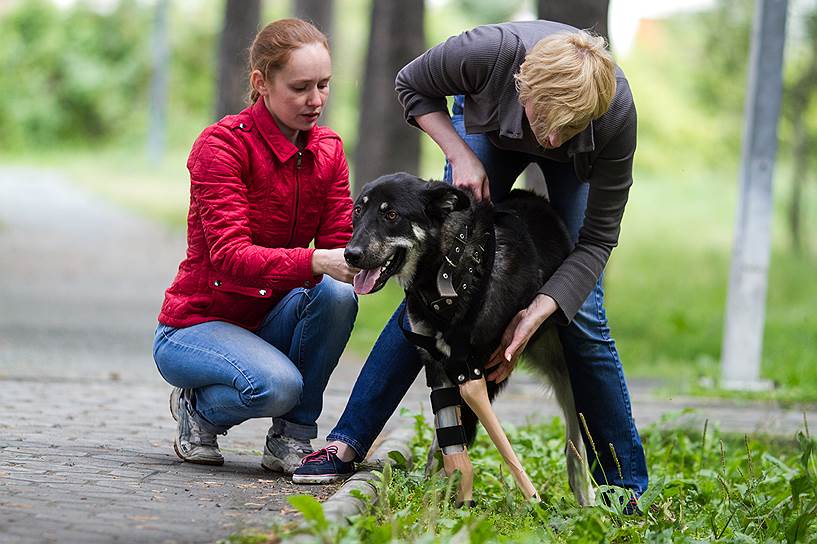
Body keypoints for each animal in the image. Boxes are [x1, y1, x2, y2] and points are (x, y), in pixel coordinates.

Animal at [344, 173, 592, 506]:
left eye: (391, 215)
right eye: (358, 211)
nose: (351, 254)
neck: (447, 268)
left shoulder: (481, 367)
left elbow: (463, 431)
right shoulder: (437, 364)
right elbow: (446, 438)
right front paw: (438, 496)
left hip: (564, 366)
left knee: (575, 433)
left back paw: (585, 493)